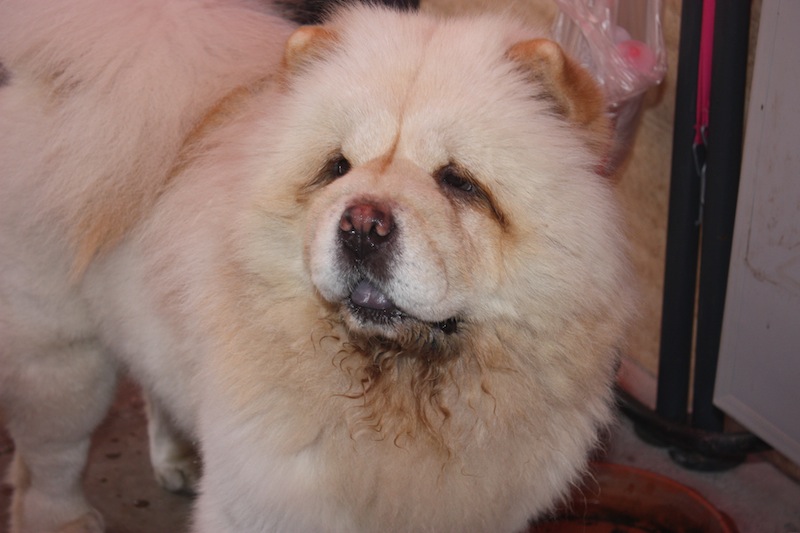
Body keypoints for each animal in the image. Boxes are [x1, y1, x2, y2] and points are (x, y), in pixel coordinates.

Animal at [0, 1, 633, 531]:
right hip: (62, 360)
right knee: (50, 457)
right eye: (338, 168)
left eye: (459, 182)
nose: (362, 225)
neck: (400, 399)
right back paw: (63, 518)